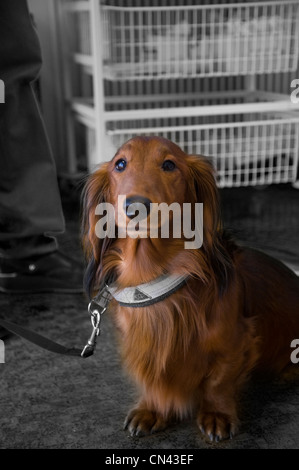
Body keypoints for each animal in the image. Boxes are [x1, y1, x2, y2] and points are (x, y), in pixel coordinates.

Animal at [81, 136, 299, 440]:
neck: (153, 274)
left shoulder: (236, 341)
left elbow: (218, 382)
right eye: (120, 164)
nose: (136, 207)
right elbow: (151, 380)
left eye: (169, 164)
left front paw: (217, 414)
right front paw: (152, 409)